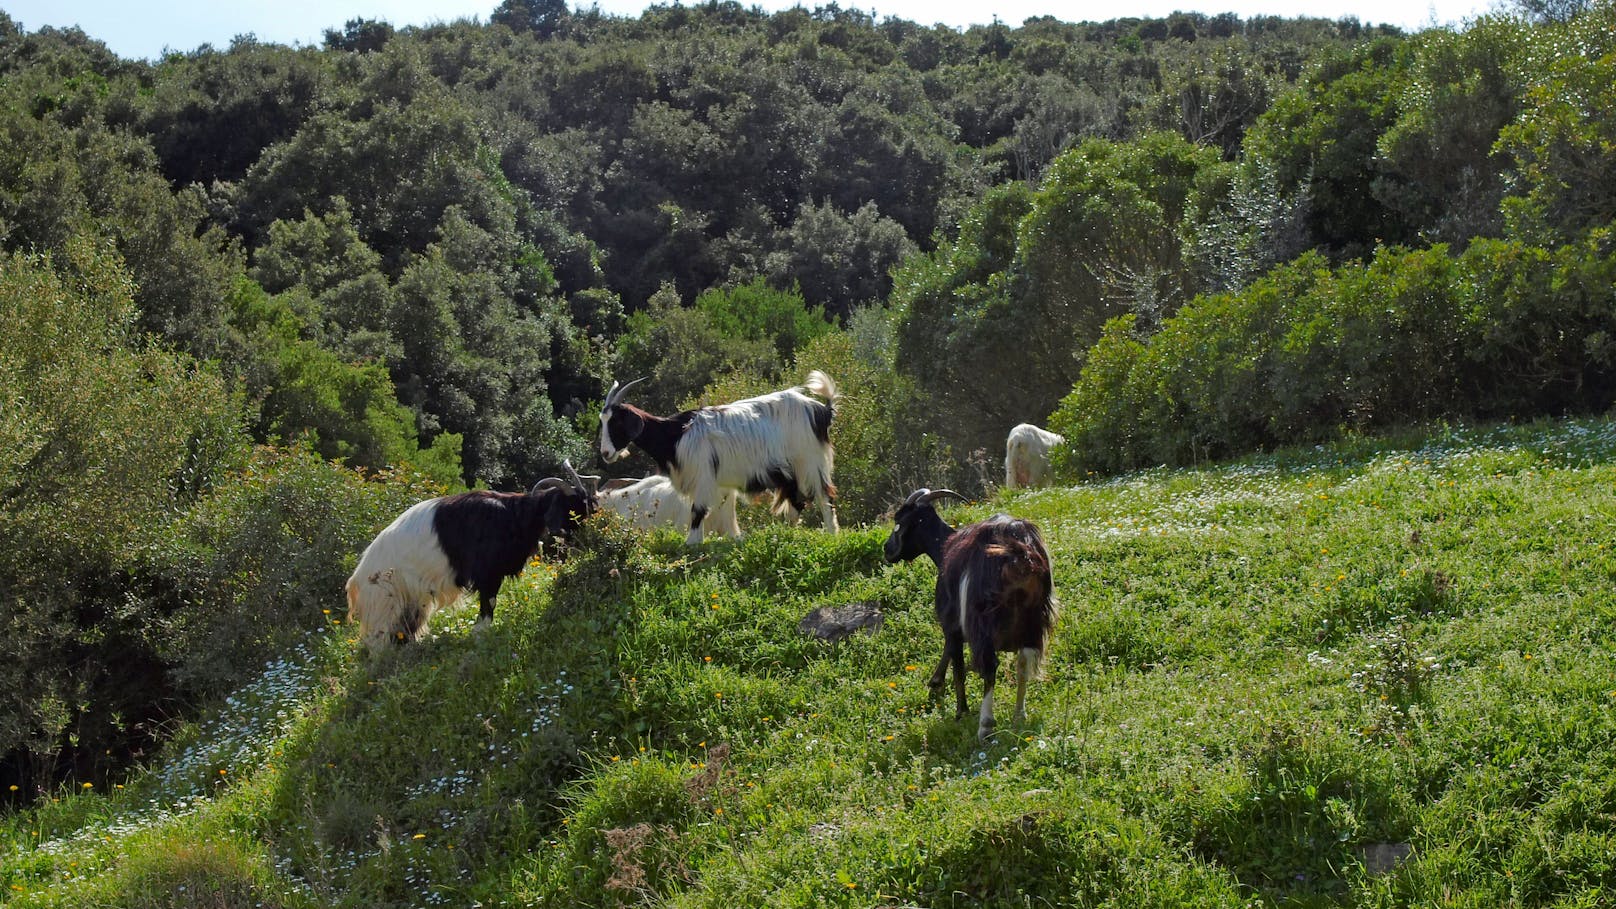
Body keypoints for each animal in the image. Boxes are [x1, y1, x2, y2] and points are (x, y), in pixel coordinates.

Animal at [344, 459, 597, 650]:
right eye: (574, 505)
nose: (586, 538)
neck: (514, 514)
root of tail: (357, 580)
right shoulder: (488, 574)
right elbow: (489, 604)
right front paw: (482, 635)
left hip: (413, 603)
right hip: (384, 603)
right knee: (380, 640)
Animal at [885, 488, 1060, 737]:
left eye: (898, 521)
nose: (887, 550)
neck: (944, 548)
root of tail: (1019, 552)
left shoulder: (951, 620)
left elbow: (957, 664)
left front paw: (960, 710)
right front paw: (936, 684)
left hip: (983, 619)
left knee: (989, 666)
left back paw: (985, 725)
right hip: (1035, 617)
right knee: (1024, 662)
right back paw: (1019, 716)